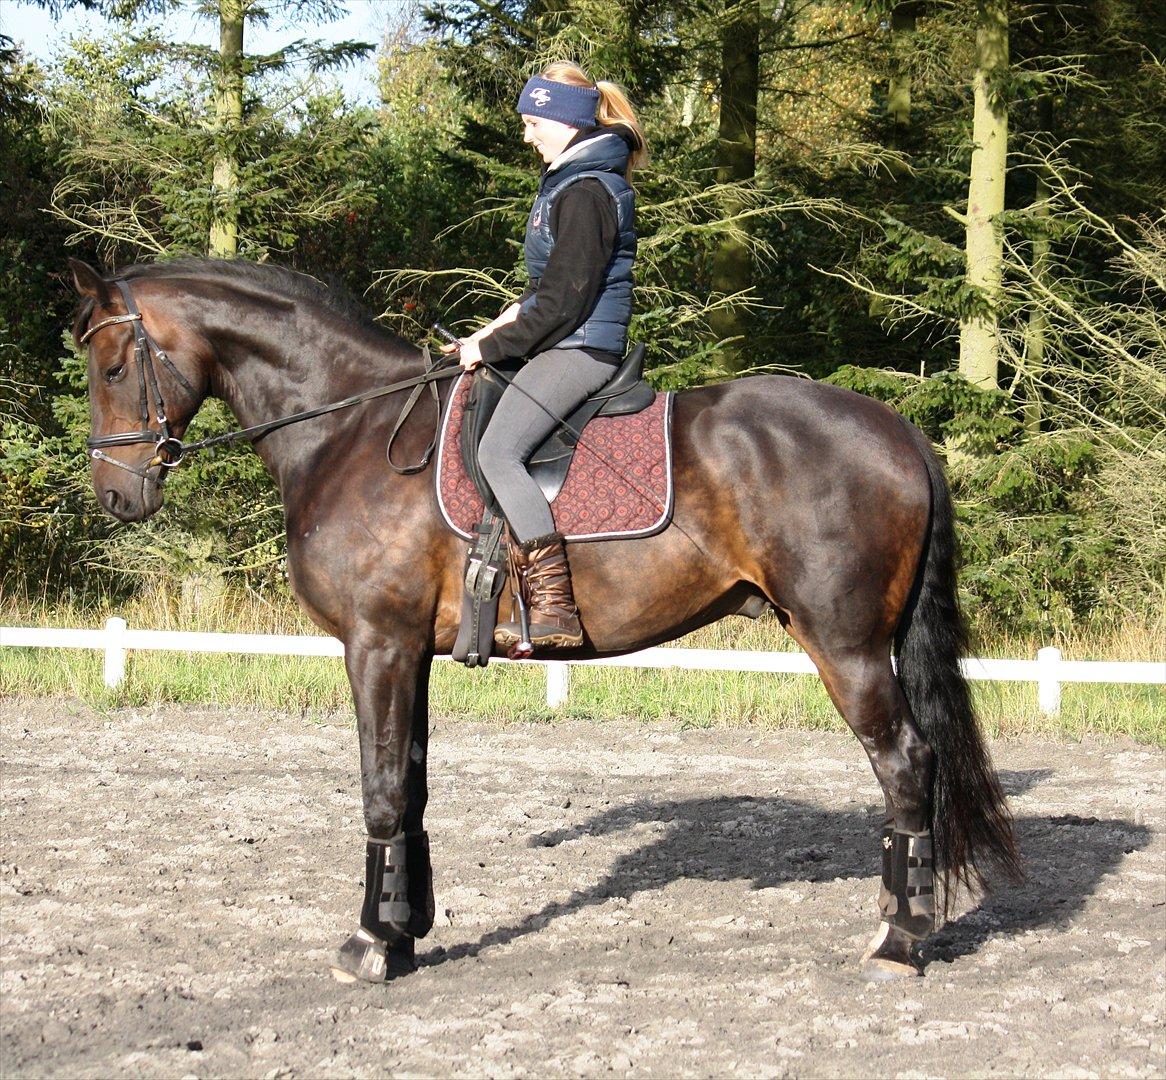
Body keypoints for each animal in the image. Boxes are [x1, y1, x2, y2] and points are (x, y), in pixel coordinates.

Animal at [70, 257, 1021, 984]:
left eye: (112, 368)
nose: (116, 497)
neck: (352, 428)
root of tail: (896, 428)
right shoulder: (411, 653)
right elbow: (411, 788)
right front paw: (406, 932)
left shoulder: (376, 645)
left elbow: (380, 792)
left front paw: (371, 944)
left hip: (845, 645)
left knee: (906, 763)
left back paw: (901, 938)